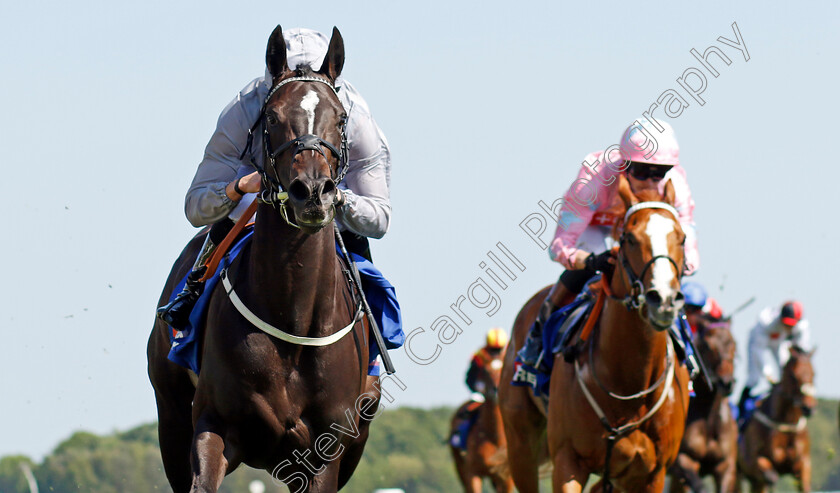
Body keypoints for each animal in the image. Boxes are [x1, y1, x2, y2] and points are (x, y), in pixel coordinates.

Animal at [147, 26, 378, 492]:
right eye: (271, 116)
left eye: (340, 118)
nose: (312, 191)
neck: (293, 316)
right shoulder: (212, 426)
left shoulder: (324, 453)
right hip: (171, 416)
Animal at [450, 346, 516, 492]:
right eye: (486, 371)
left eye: (504, 368)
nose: (496, 389)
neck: (495, 437)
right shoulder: (473, 473)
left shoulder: (505, 477)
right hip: (459, 466)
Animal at [498, 177, 688, 492]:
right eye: (630, 238)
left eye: (682, 238)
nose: (663, 300)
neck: (628, 387)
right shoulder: (568, 460)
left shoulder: (650, 473)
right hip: (519, 439)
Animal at [668, 318, 740, 490]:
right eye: (708, 346)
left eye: (733, 343)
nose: (726, 383)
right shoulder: (683, 460)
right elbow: (699, 486)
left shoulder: (725, 466)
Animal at [740, 346, 812, 492]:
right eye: (794, 376)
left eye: (814, 373)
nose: (808, 407)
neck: (786, 423)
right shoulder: (756, 462)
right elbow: (771, 477)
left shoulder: (803, 464)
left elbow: (805, 484)